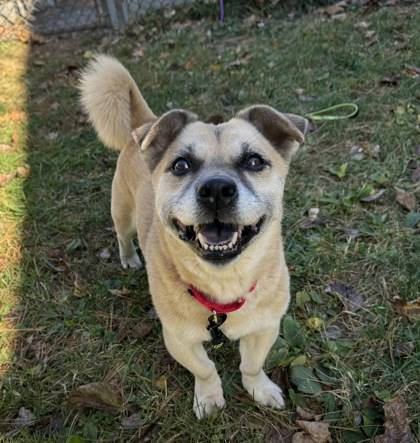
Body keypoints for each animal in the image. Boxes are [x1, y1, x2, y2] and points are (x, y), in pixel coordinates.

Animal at [79, 55, 308, 420]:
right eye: (181, 165)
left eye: (254, 161)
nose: (216, 190)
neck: (224, 283)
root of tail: (147, 123)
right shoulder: (179, 338)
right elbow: (205, 369)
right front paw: (210, 398)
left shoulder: (265, 328)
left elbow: (252, 364)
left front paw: (259, 388)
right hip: (123, 213)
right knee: (123, 236)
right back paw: (129, 258)